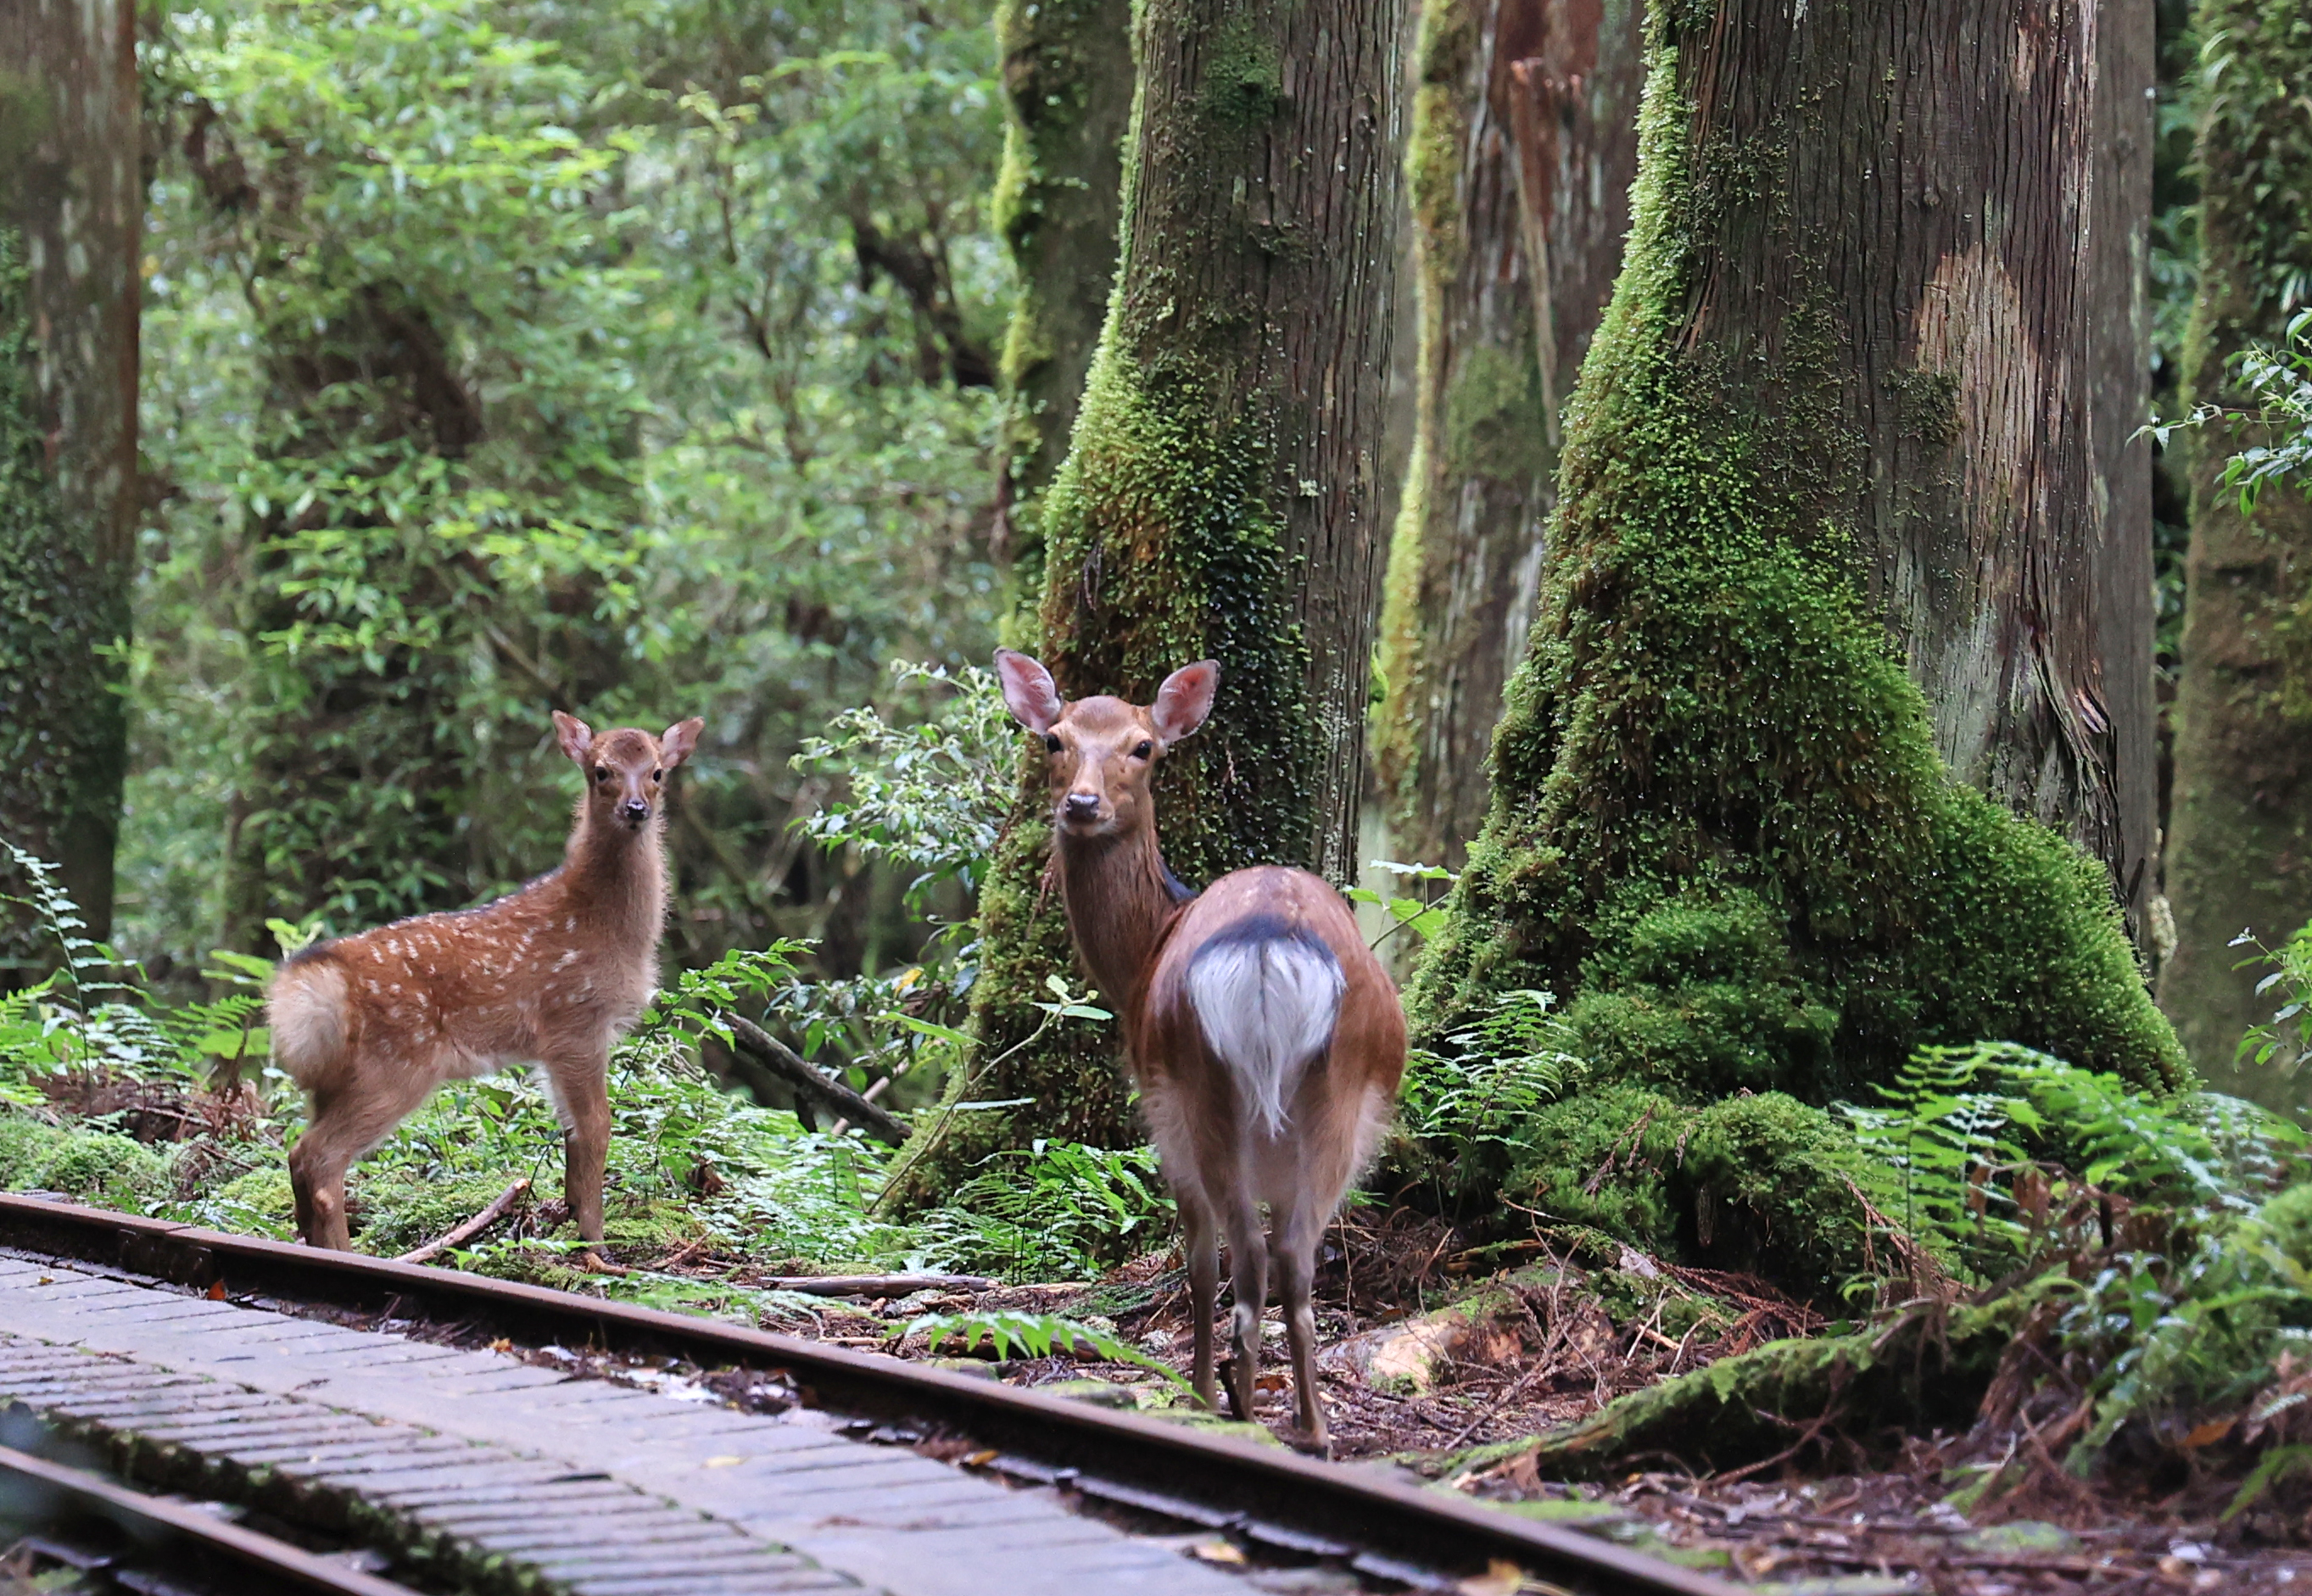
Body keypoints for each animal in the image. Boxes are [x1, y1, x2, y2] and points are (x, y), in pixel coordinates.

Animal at [265, 707, 698, 1267]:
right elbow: (598, 1129)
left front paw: (573, 1226)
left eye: (657, 772)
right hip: (394, 1065)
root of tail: (312, 986)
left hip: (331, 1079)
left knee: (305, 1157)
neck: (604, 925)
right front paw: (598, 1251)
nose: (636, 808)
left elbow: (571, 1134)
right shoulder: (576, 1019)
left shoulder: (553, 1047)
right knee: (316, 1158)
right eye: (601, 771)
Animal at [998, 647, 1405, 1443]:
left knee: (1240, 1254)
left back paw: (1233, 1405)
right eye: (1055, 739)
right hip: (1339, 1089)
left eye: (1143, 747)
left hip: (1201, 1079)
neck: (1142, 953)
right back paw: (1310, 1427)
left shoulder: (1158, 1104)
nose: (1083, 804)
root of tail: (1268, 944)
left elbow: (1197, 1260)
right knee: (1294, 1256)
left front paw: (1198, 1389)